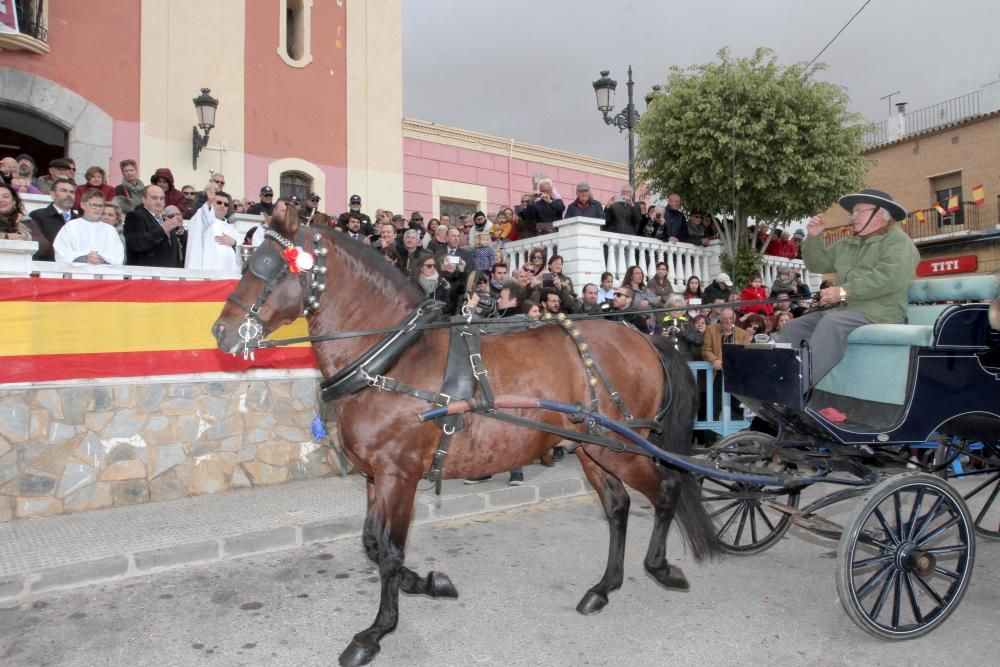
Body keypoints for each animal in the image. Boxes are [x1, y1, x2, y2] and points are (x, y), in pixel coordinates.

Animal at [211, 210, 720, 667]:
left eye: (267, 266)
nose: (220, 331)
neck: (392, 358)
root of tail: (645, 338)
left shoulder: (399, 476)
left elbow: (390, 551)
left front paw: (377, 631)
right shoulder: (376, 477)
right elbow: (373, 544)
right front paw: (429, 583)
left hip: (625, 446)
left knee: (666, 489)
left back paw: (660, 567)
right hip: (595, 449)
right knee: (617, 507)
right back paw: (603, 587)